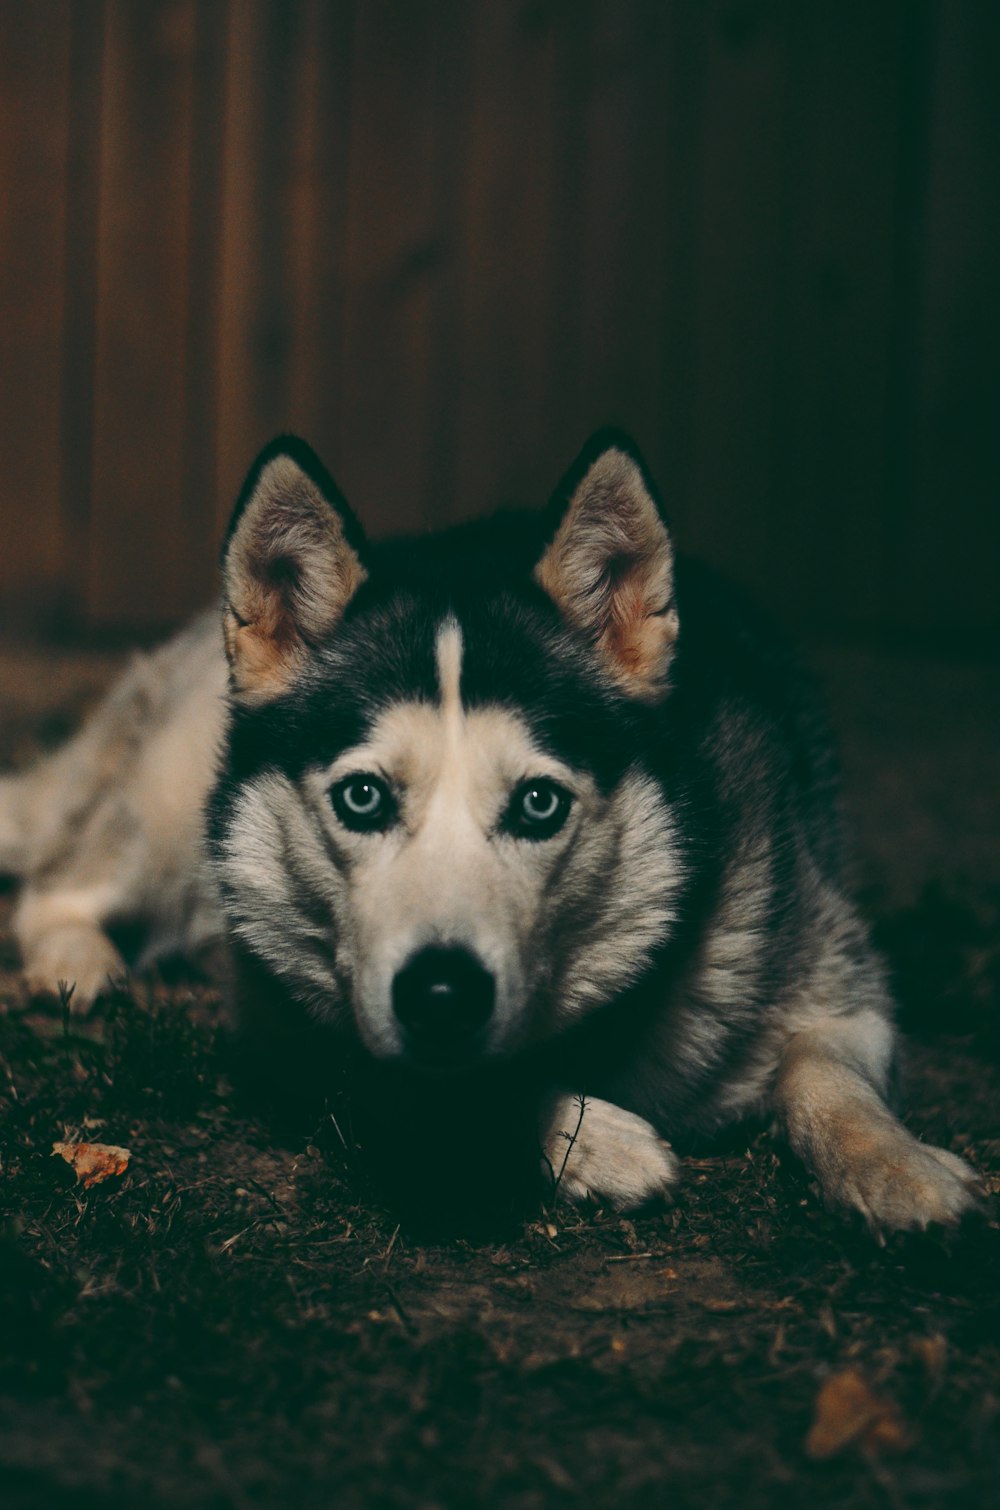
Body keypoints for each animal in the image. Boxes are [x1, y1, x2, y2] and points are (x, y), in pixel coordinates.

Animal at [0, 431, 984, 1232]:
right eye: (362, 798)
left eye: (539, 805)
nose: (441, 995)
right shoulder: (281, 1026)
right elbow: (427, 1083)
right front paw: (591, 1138)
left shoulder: (836, 973)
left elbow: (829, 1079)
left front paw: (898, 1169)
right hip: (168, 816)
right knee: (55, 888)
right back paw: (80, 965)